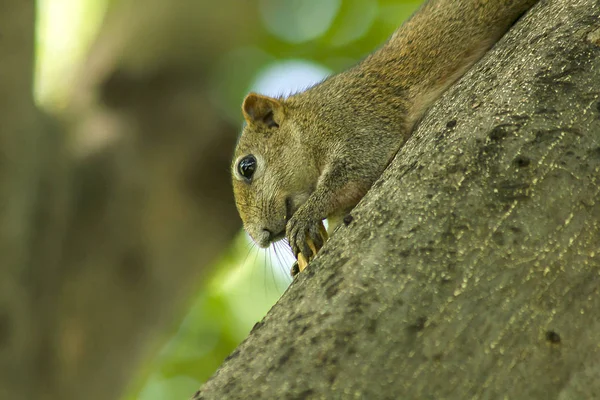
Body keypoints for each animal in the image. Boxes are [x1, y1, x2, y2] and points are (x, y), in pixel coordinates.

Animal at [231, 0, 540, 270]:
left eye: (247, 166)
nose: (261, 237)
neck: (309, 121)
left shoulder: (356, 120)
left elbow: (355, 170)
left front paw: (306, 215)